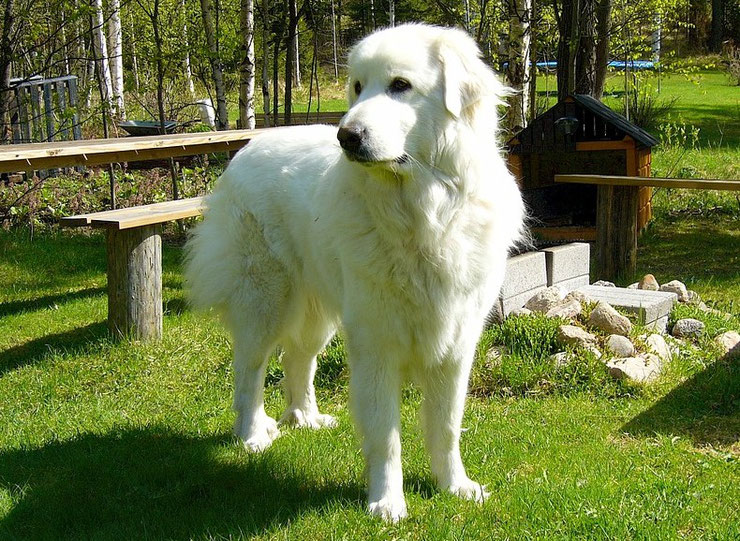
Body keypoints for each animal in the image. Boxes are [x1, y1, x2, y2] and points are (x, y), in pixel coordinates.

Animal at [185, 24, 528, 520]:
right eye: (358, 87)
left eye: (400, 85)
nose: (346, 136)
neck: (424, 213)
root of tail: (249, 146)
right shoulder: (376, 343)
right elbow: (386, 436)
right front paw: (387, 503)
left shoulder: (455, 344)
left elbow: (446, 427)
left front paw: (455, 486)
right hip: (265, 301)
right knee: (249, 370)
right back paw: (251, 434)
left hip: (319, 314)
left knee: (297, 359)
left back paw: (305, 418)